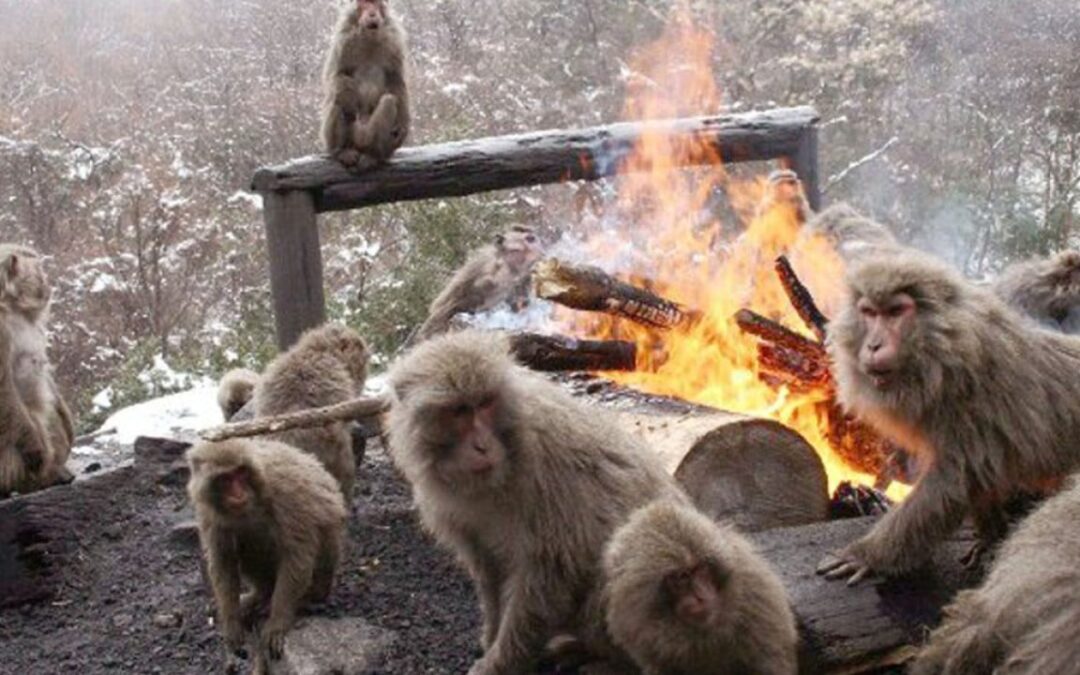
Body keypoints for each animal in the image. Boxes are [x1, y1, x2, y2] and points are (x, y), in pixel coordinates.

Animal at [187, 439, 347, 665]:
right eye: (226, 478)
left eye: (240, 473)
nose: (238, 493)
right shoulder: (208, 511)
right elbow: (223, 560)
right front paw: (231, 623)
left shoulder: (285, 491)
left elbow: (297, 555)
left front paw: (277, 624)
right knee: (244, 539)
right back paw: (260, 595)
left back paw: (306, 599)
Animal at [321, 0, 410, 169]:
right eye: (364, 4)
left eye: (376, 4)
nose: (372, 13)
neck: (370, 37)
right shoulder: (343, 40)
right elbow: (336, 74)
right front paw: (347, 96)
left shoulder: (394, 42)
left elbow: (395, 80)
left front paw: (403, 126)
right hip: (348, 134)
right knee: (338, 101)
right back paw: (342, 151)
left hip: (370, 137)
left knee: (389, 101)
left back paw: (373, 155)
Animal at [385, 330, 687, 675]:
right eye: (460, 411)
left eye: (485, 404)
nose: (482, 446)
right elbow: (489, 568)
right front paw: (491, 637)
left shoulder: (548, 467)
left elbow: (549, 573)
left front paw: (499, 662)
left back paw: (607, 661)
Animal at [816, 251, 1080, 584]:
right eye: (869, 313)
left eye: (895, 312)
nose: (873, 345)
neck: (942, 354)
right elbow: (980, 477)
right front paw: (990, 537)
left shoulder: (969, 404)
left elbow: (950, 483)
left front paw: (867, 555)